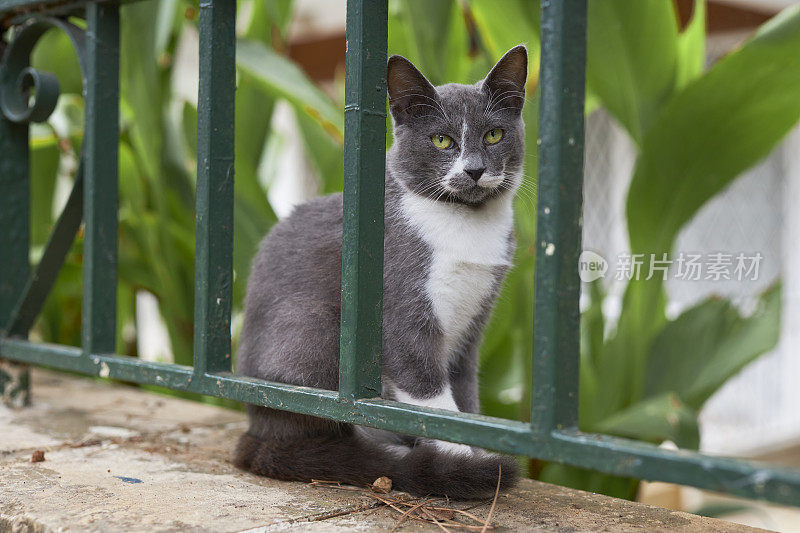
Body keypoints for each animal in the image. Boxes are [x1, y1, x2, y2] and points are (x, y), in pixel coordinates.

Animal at [234, 45, 528, 498]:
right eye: (441, 139)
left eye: (494, 135)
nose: (475, 170)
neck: (467, 227)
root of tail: (256, 432)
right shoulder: (401, 310)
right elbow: (429, 395)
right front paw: (462, 461)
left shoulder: (474, 324)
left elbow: (465, 396)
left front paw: (473, 450)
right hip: (313, 332)